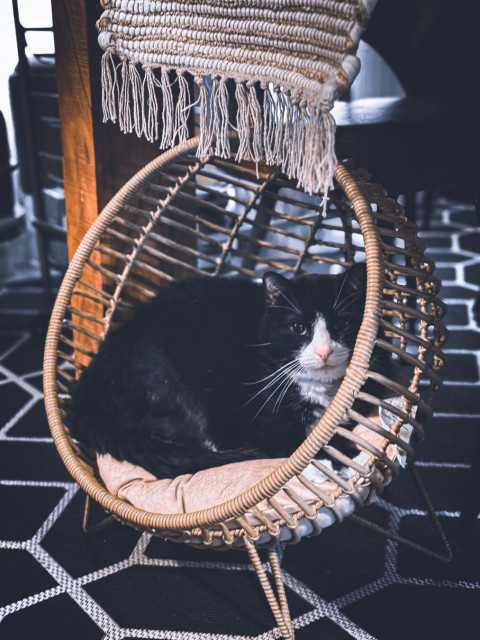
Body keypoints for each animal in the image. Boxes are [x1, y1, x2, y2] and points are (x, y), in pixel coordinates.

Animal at [67, 262, 390, 478]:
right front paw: (340, 456)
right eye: (299, 327)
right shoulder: (264, 428)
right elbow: (300, 445)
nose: (324, 351)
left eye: (343, 324)